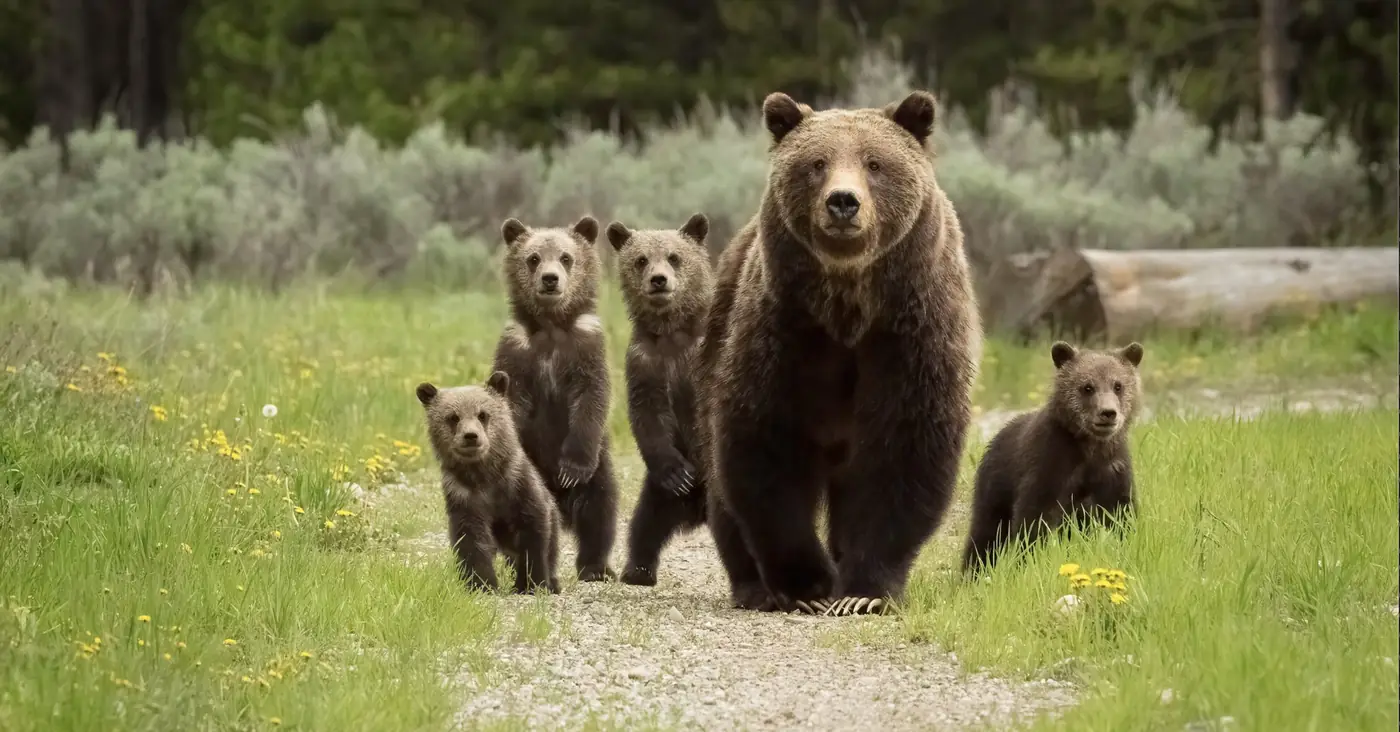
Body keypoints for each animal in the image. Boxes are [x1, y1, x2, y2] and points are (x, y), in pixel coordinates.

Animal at [416, 372, 562, 595]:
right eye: (453, 417)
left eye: (483, 414)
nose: (471, 436)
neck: (485, 476)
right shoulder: (464, 496)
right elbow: (472, 540)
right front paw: (482, 584)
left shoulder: (518, 486)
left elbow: (534, 533)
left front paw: (531, 583)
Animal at [493, 215, 620, 582]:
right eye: (533, 258)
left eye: (566, 257)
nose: (550, 279)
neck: (551, 327)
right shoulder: (517, 352)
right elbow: (512, 401)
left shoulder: (586, 347)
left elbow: (592, 397)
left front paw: (571, 469)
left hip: (601, 465)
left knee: (600, 507)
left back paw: (595, 567)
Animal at [605, 213, 716, 587]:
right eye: (641, 259)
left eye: (674, 256)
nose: (658, 280)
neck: (673, 332)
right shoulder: (645, 361)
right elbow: (647, 413)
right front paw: (678, 474)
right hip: (658, 491)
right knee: (646, 521)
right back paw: (637, 570)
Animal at [696, 90, 983, 617]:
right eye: (816, 163)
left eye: (874, 163)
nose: (843, 202)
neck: (849, 309)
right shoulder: (786, 331)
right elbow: (766, 441)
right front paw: (806, 585)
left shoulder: (910, 336)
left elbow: (904, 450)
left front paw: (863, 591)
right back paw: (752, 586)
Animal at [960, 341, 1145, 575]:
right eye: (1087, 387)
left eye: (1118, 385)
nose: (1108, 413)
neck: (1089, 448)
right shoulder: (1049, 466)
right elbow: (1033, 521)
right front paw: (1027, 561)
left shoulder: (1113, 469)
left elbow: (1122, 515)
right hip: (995, 487)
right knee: (986, 533)